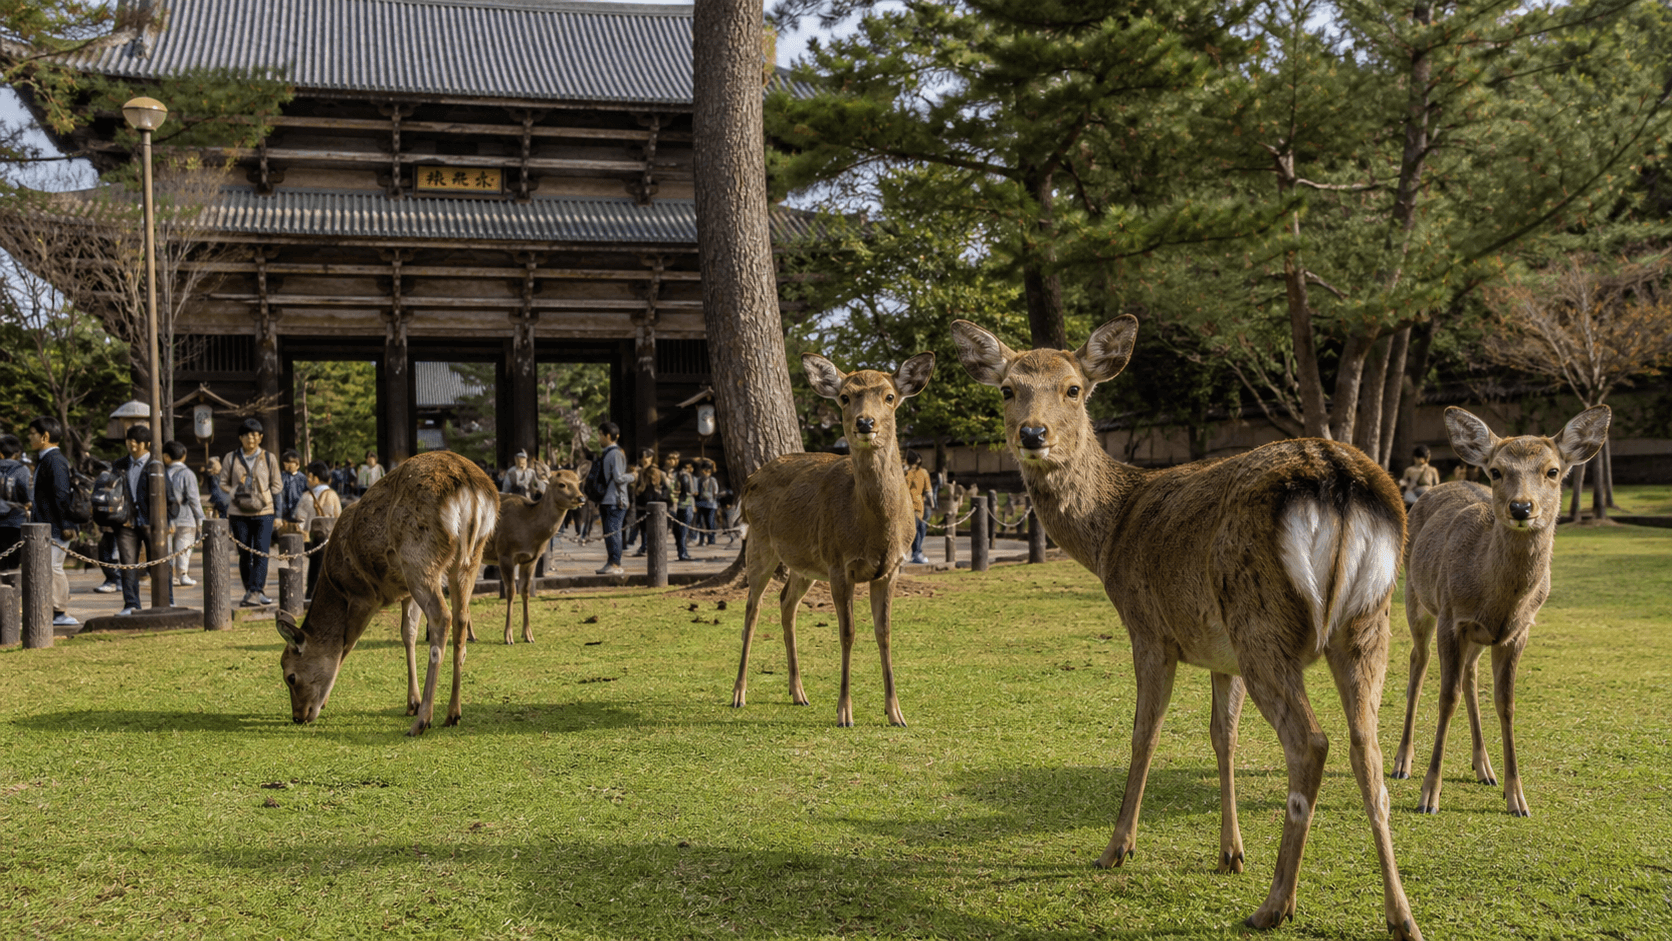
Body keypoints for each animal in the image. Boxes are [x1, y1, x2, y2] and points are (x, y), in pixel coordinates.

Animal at [276, 450, 499, 736]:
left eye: (290, 676)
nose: (299, 716)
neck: (336, 585)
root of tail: (471, 486)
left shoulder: (363, 595)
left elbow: (346, 642)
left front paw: (324, 702)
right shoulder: (405, 594)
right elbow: (408, 634)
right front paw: (412, 701)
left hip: (418, 557)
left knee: (442, 617)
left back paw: (422, 721)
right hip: (470, 558)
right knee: (461, 617)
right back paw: (452, 713)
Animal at [492, 469, 584, 644]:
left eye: (578, 482)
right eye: (562, 484)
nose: (581, 498)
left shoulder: (531, 559)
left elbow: (526, 591)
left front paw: (528, 635)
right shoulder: (504, 553)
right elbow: (510, 591)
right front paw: (508, 636)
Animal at [731, 351, 935, 727]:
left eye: (889, 396)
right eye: (844, 397)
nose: (865, 423)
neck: (874, 529)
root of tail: (748, 481)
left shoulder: (891, 568)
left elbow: (884, 633)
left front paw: (896, 713)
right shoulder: (840, 564)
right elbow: (848, 632)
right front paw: (844, 713)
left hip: (805, 565)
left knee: (786, 603)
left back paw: (799, 693)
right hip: (760, 542)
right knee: (752, 608)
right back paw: (739, 694)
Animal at [952, 317, 1422, 941]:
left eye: (1074, 388)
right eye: (1008, 388)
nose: (1033, 434)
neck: (1110, 533)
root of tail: (1338, 479)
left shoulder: (1149, 628)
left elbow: (1143, 733)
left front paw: (1116, 848)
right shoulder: (1221, 655)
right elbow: (1223, 736)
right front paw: (1230, 854)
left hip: (1260, 619)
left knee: (1311, 742)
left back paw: (1276, 905)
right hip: (1366, 625)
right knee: (1365, 747)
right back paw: (1401, 917)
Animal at [1392, 406, 1609, 817]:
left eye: (1552, 470)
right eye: (1495, 471)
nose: (1521, 507)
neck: (1495, 597)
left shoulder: (1517, 631)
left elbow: (1505, 703)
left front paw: (1517, 798)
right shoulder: (1451, 618)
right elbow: (1446, 697)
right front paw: (1429, 796)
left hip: (1479, 638)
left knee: (1470, 675)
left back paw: (1484, 768)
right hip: (1416, 598)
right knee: (1417, 663)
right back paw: (1401, 763)